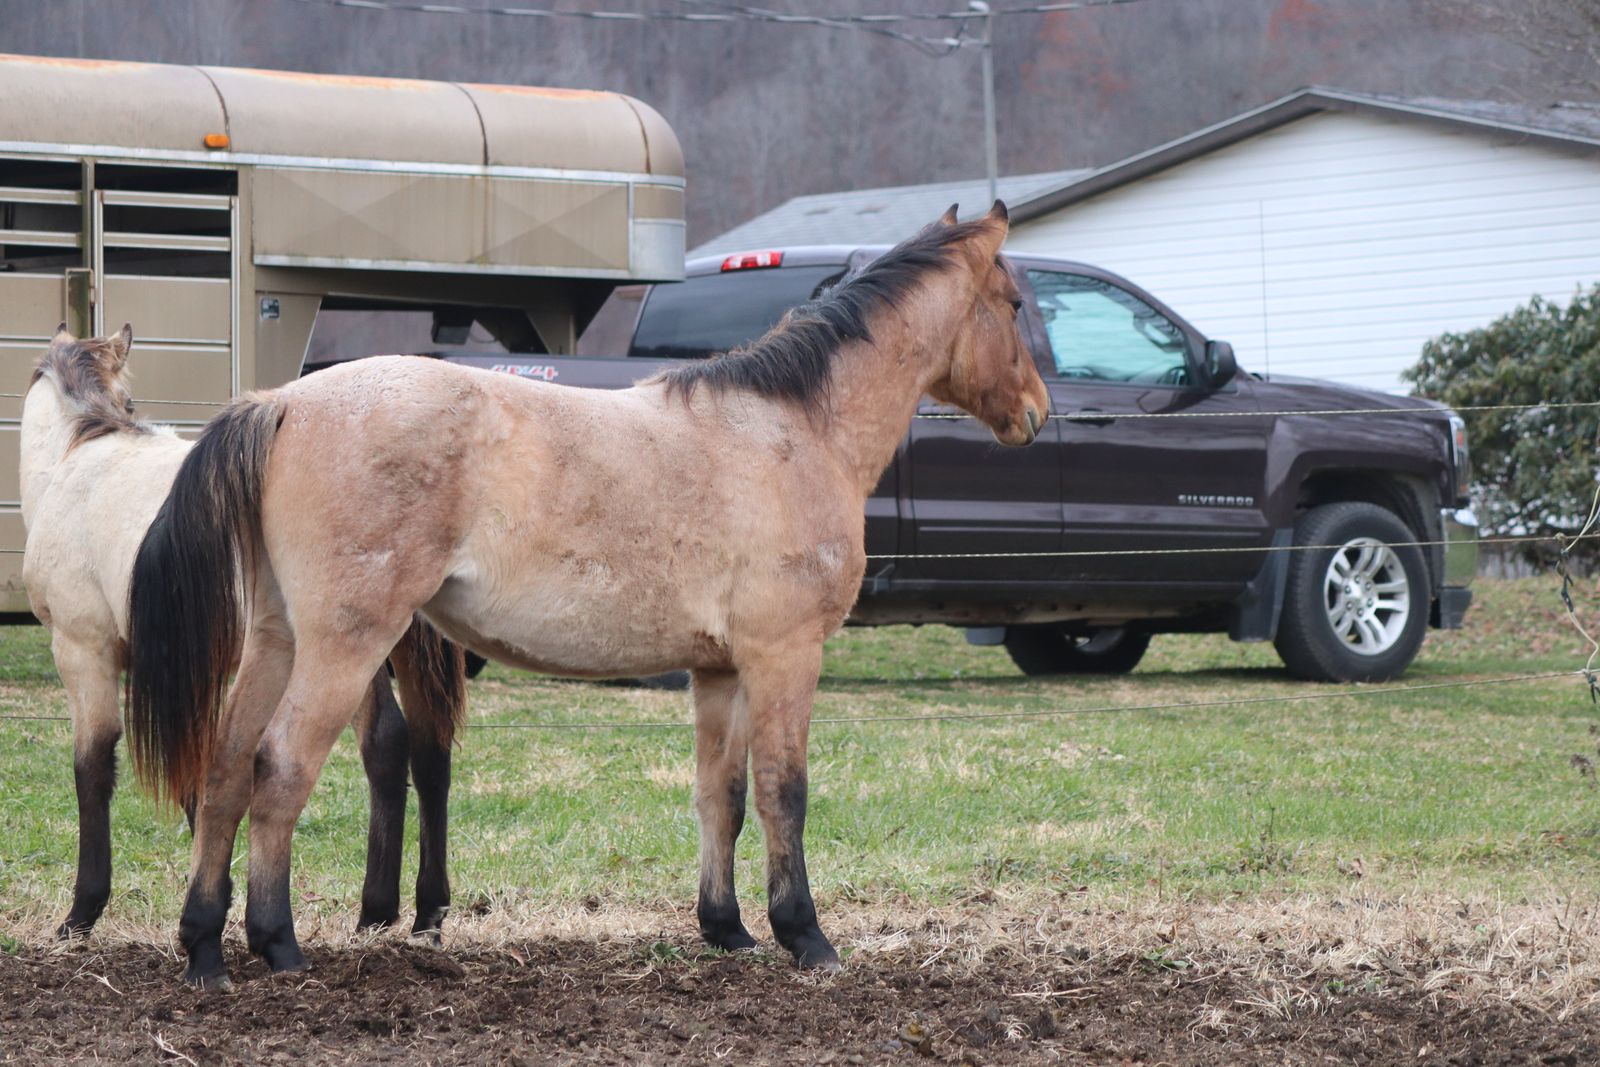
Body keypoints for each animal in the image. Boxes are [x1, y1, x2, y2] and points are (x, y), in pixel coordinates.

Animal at [128, 204, 1049, 991]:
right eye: (1012, 301)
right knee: (280, 766)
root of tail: (280, 402)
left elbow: (721, 794)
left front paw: (727, 928)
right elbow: (784, 793)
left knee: (225, 768)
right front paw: (805, 935)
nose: (1037, 414)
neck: (788, 430)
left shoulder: (720, 671)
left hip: (278, 640)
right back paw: (276, 942)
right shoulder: (785, 655)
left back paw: (204, 945)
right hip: (345, 646)